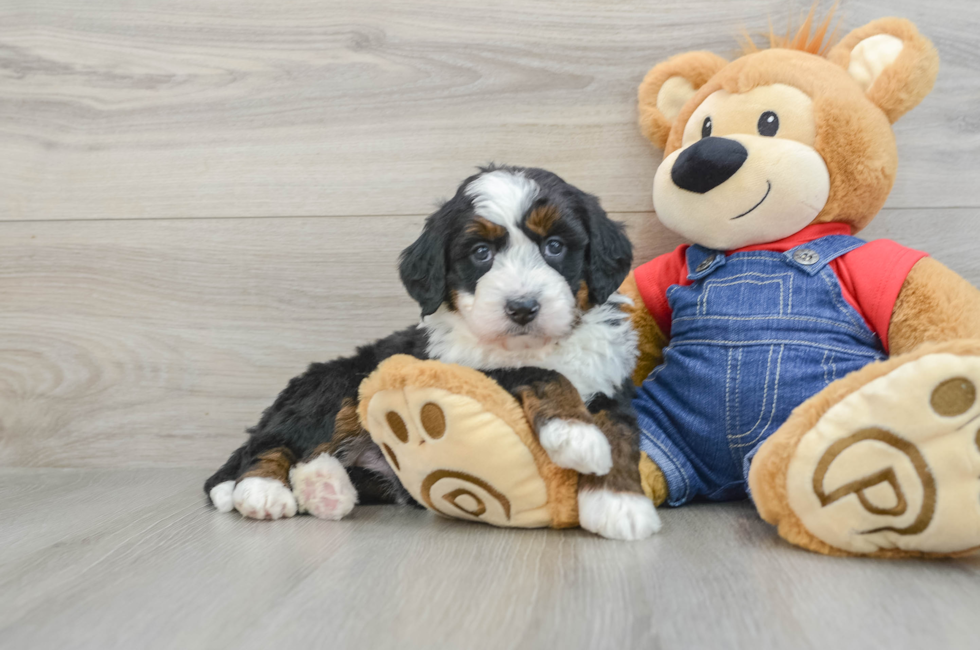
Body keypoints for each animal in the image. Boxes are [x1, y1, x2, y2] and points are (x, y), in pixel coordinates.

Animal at [204, 165, 664, 540]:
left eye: (554, 246)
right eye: (481, 253)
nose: (522, 307)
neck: (538, 344)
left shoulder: (610, 378)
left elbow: (622, 432)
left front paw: (620, 503)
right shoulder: (458, 368)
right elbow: (538, 373)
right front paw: (575, 431)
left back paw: (324, 489)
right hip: (336, 385)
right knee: (273, 443)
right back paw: (261, 489)